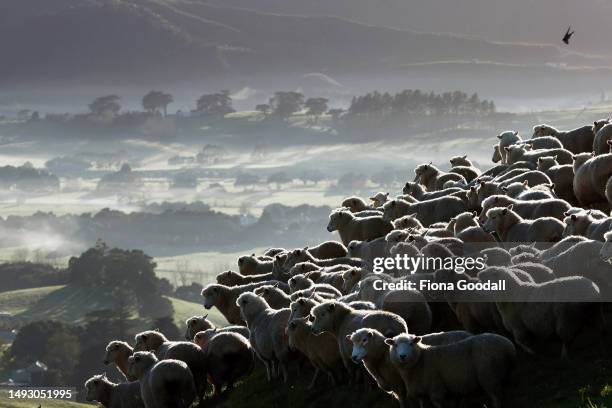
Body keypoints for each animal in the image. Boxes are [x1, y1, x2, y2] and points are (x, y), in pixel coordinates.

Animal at [384, 334, 512, 406]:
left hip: (489, 376)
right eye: (395, 345)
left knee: (496, 398)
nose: (402, 356)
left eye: (411, 344)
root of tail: (508, 345)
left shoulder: (436, 389)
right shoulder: (421, 395)